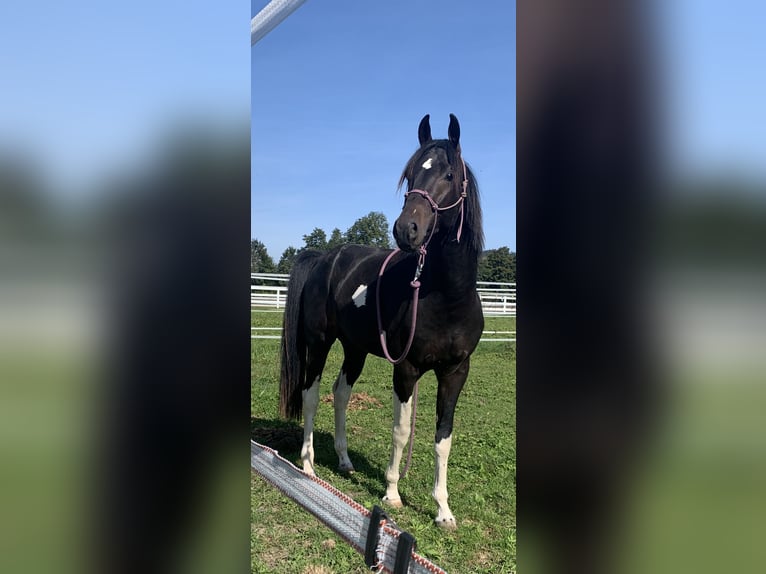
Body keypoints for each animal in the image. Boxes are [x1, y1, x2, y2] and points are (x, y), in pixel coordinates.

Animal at [279, 113, 484, 529]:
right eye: (410, 175)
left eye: (449, 175)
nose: (406, 230)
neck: (447, 296)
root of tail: (324, 258)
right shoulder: (406, 368)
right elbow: (401, 430)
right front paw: (391, 493)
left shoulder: (456, 371)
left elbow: (443, 438)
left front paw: (443, 510)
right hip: (319, 343)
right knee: (311, 394)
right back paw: (308, 466)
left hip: (354, 349)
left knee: (341, 394)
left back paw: (344, 461)